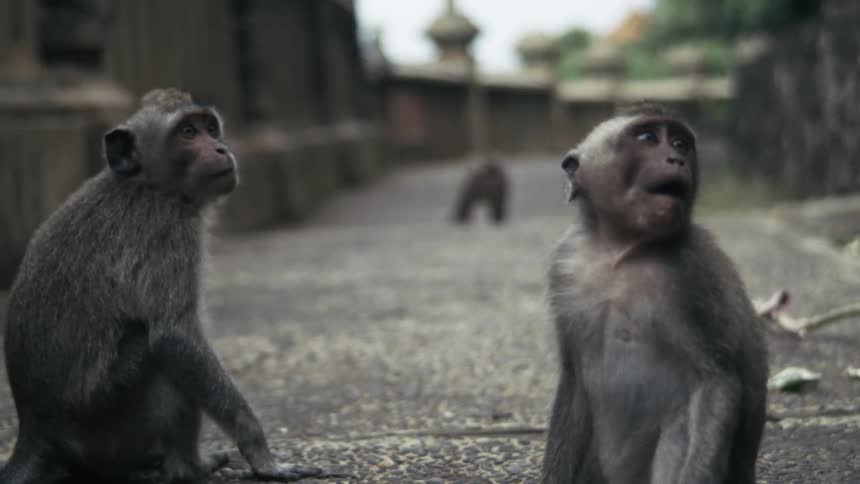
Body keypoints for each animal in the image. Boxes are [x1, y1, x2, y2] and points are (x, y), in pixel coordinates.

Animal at [0, 88, 323, 484]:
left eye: (210, 128)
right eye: (188, 132)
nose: (221, 148)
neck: (147, 184)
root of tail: (35, 430)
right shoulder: (168, 231)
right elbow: (174, 336)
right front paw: (262, 456)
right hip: (104, 417)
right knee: (158, 357)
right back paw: (188, 467)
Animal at [541, 103, 768, 484]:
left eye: (679, 143)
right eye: (647, 137)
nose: (676, 158)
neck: (620, 250)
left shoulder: (688, 274)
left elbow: (716, 381)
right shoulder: (565, 263)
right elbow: (574, 382)